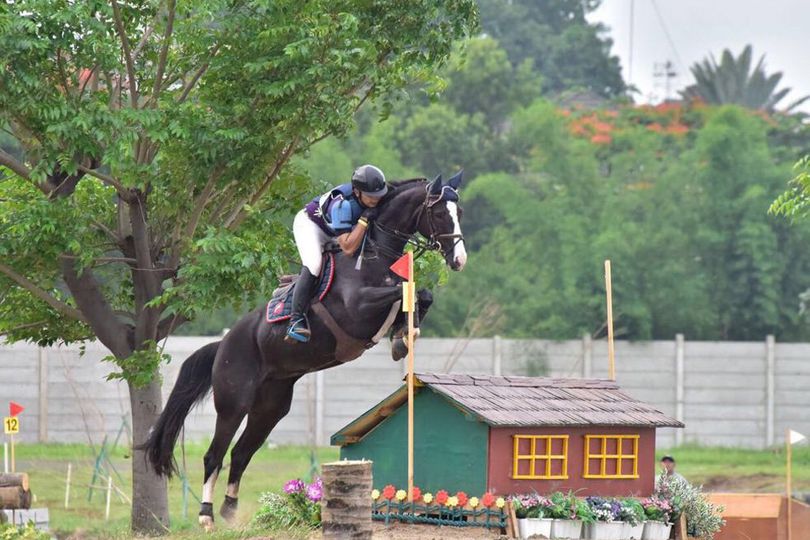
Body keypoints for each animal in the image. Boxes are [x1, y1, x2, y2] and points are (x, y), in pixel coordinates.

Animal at [142, 172, 464, 528]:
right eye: (440, 214)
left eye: (459, 212)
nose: (459, 260)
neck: (375, 253)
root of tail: (223, 344)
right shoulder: (357, 309)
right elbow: (405, 290)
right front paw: (403, 335)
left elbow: (418, 293)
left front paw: (405, 335)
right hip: (233, 403)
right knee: (215, 454)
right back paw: (207, 517)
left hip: (270, 407)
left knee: (241, 453)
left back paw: (230, 512)